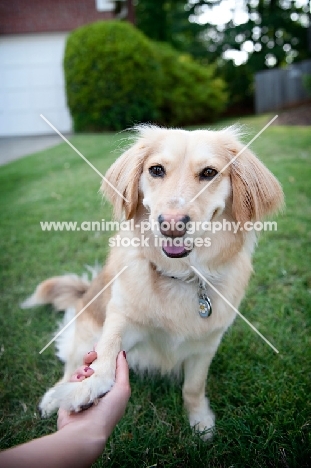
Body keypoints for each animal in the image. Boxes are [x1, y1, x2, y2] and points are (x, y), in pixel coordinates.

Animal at [22, 124, 286, 438]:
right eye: (156, 170)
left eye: (209, 173)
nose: (171, 225)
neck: (182, 275)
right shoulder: (122, 318)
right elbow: (106, 351)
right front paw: (86, 388)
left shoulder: (206, 344)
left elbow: (193, 387)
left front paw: (200, 421)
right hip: (84, 333)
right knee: (71, 363)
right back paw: (55, 396)